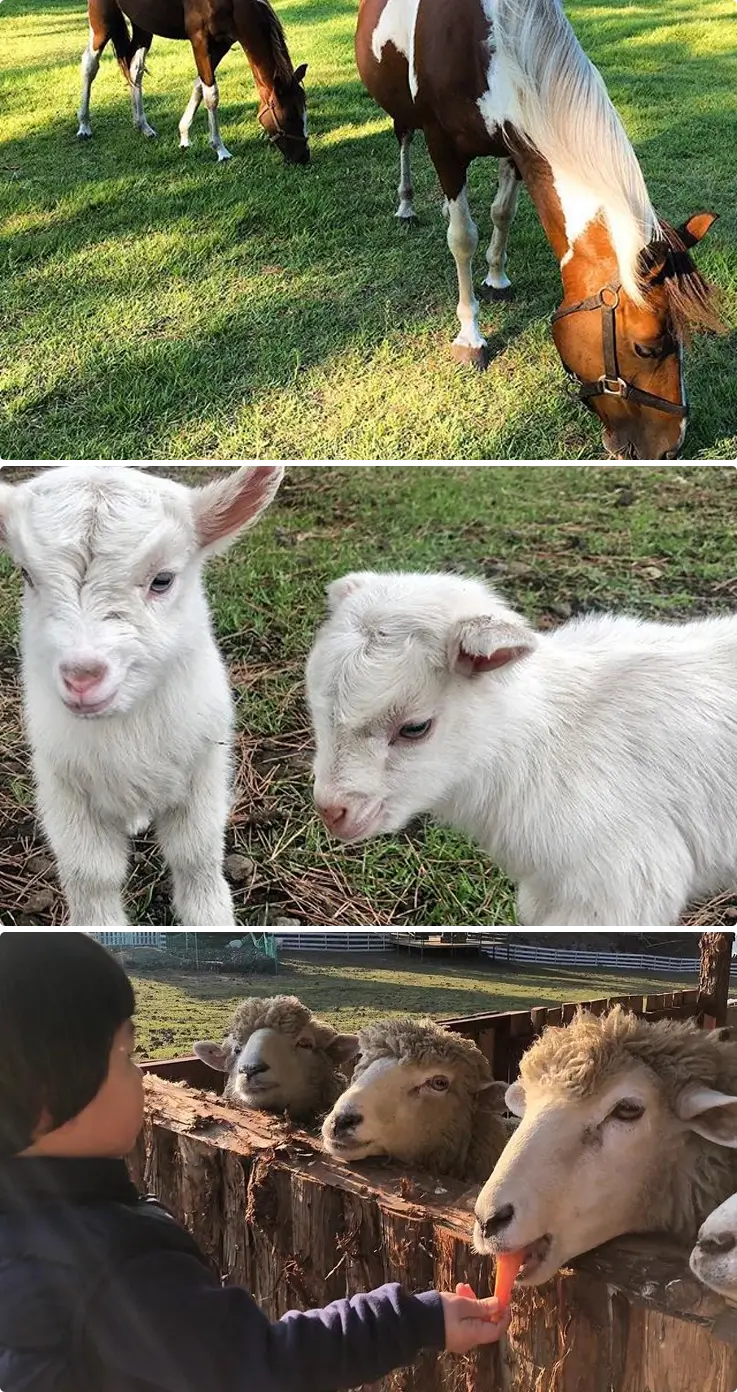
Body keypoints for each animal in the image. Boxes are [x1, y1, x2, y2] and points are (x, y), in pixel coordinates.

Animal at [0, 463, 284, 930]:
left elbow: (196, 853)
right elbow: (90, 873)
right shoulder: (62, 785)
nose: (82, 676)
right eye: (26, 576)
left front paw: (211, 919)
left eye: (162, 580)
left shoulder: (204, 768)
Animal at [77, 0, 309, 165]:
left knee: (135, 70)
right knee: (90, 64)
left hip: (143, 24)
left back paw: (143, 126)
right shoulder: (200, 40)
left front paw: (184, 136)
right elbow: (211, 94)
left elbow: (200, 86)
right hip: (102, 19)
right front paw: (220, 149)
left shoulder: (222, 43)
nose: (304, 157)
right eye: (290, 116)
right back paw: (84, 126)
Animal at [355, 0, 724, 460]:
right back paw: (405, 205)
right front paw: (470, 338)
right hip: (404, 118)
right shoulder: (445, 150)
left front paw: (496, 278)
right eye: (648, 347)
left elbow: (503, 213)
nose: (670, 450)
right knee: (404, 138)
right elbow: (463, 238)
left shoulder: (517, 146)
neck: (485, 41)